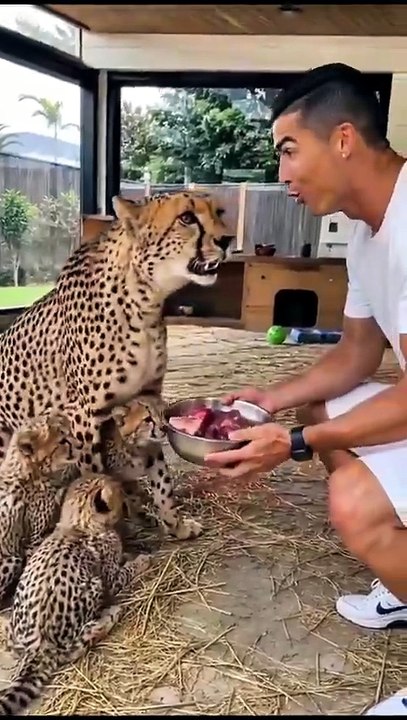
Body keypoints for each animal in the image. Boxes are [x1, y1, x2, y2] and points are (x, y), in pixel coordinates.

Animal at [0, 191, 233, 541]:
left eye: (220, 212)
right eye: (187, 218)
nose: (227, 239)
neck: (144, 300)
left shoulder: (148, 398)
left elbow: (161, 479)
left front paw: (174, 523)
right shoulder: (84, 414)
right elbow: (96, 476)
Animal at [0, 473, 151, 716]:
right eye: (120, 492)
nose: (130, 498)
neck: (79, 523)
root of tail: (37, 647)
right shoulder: (109, 580)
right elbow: (126, 571)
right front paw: (141, 560)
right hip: (93, 589)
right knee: (79, 645)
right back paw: (110, 616)